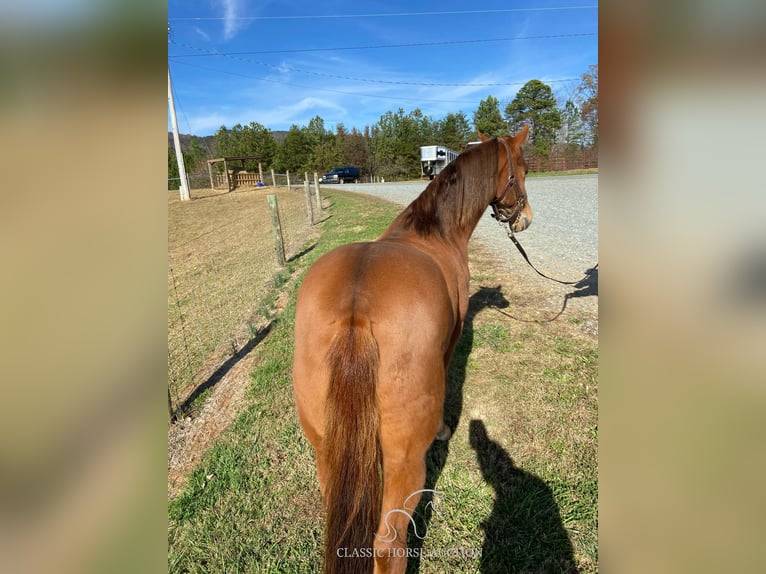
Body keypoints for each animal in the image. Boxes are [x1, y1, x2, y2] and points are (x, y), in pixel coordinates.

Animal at [294, 127, 536, 574]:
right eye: (523, 170)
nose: (525, 219)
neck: (435, 231)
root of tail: (356, 312)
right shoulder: (450, 343)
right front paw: (443, 429)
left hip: (327, 451)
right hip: (404, 462)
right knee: (389, 545)